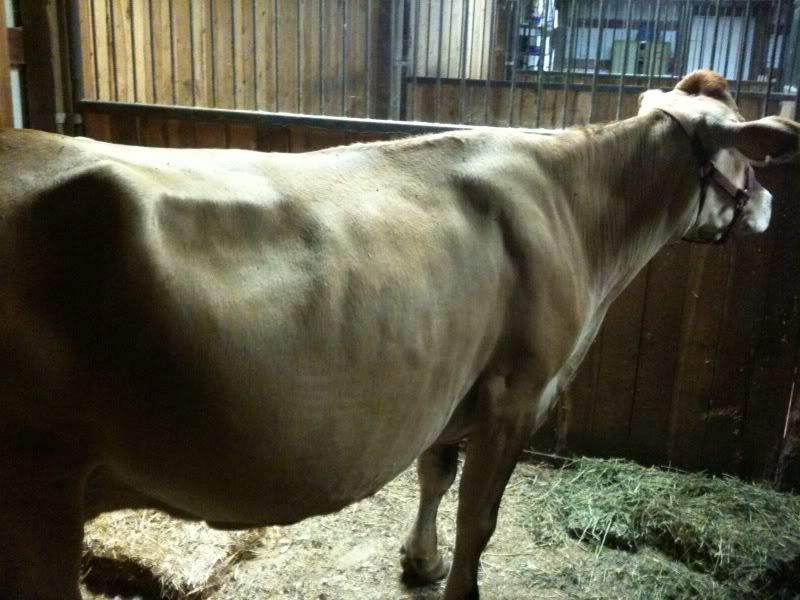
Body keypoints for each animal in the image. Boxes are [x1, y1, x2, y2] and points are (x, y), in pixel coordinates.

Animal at [1, 70, 798, 600]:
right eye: (750, 157)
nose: (768, 207)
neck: (581, 214)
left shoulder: (454, 371)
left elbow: (435, 472)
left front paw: (421, 563)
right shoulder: (521, 386)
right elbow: (481, 516)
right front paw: (461, 585)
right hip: (37, 482)